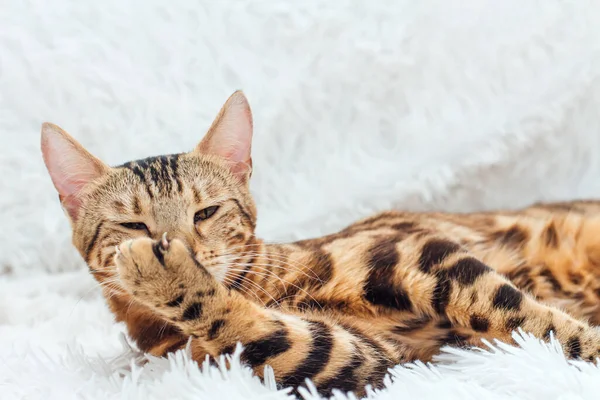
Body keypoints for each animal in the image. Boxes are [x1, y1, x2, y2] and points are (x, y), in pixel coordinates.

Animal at [41, 91, 600, 396]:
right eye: (133, 224)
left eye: (206, 212)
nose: (176, 246)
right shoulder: (361, 357)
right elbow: (254, 330)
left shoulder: (414, 250)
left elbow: (526, 316)